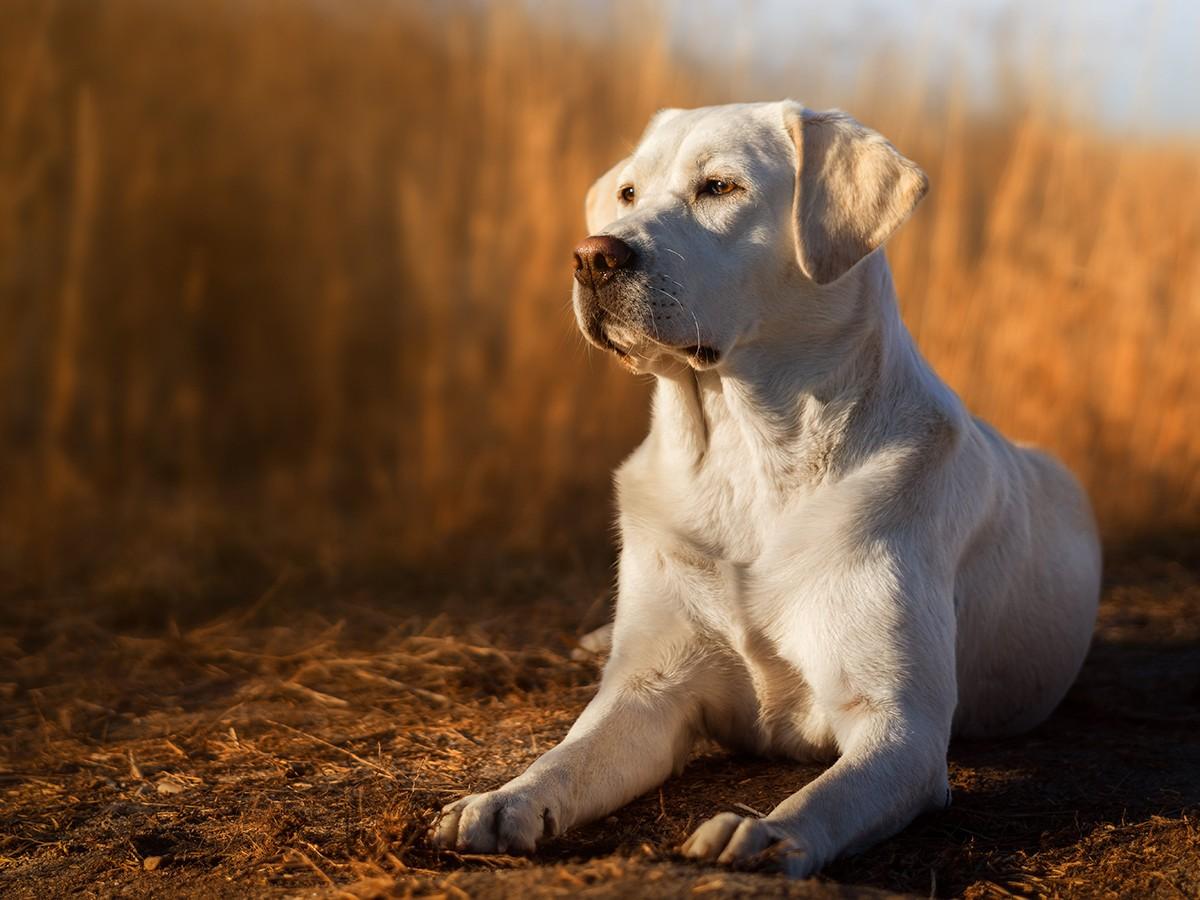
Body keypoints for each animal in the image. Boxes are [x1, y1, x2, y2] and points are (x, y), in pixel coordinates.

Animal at [429, 102, 1099, 878]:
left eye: (720, 187)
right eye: (628, 193)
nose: (592, 255)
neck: (744, 460)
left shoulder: (900, 726)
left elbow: (827, 796)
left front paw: (762, 833)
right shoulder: (649, 690)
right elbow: (567, 758)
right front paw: (502, 801)